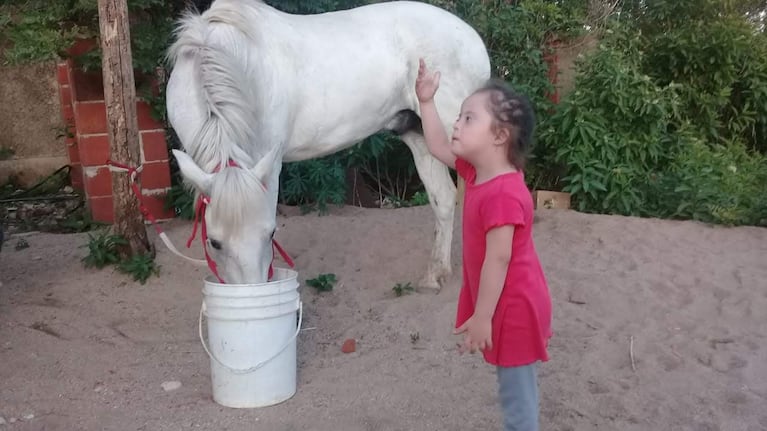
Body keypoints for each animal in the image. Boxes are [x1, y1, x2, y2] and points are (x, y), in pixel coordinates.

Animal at [168, 0, 492, 290]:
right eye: (215, 242)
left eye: (270, 233)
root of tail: (472, 38)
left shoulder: (268, 164)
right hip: (420, 134)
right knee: (444, 198)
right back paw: (435, 275)